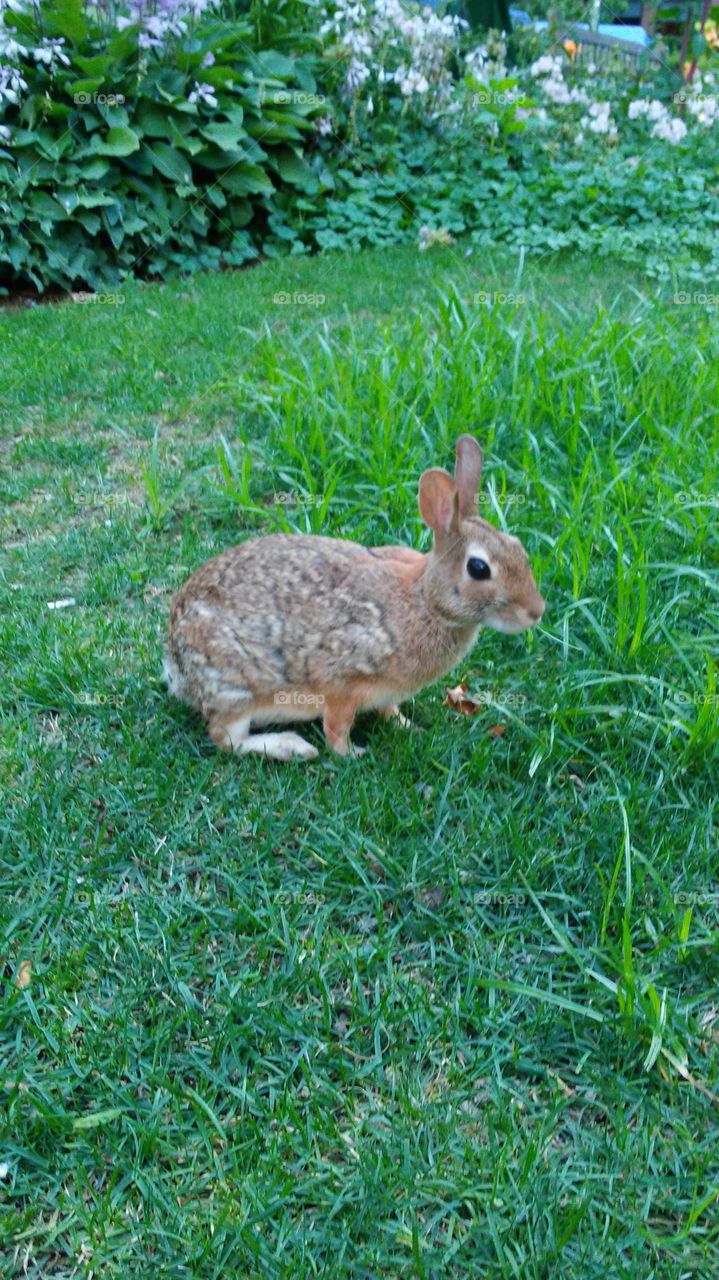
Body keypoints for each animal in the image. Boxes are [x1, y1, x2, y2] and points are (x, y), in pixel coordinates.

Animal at [164, 435, 545, 761]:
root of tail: (176, 661)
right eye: (478, 568)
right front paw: (352, 753)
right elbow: (336, 727)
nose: (536, 612)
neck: (426, 602)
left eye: (518, 547)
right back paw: (294, 748)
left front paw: (409, 727)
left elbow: (390, 710)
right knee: (226, 738)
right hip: (236, 688)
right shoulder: (344, 682)